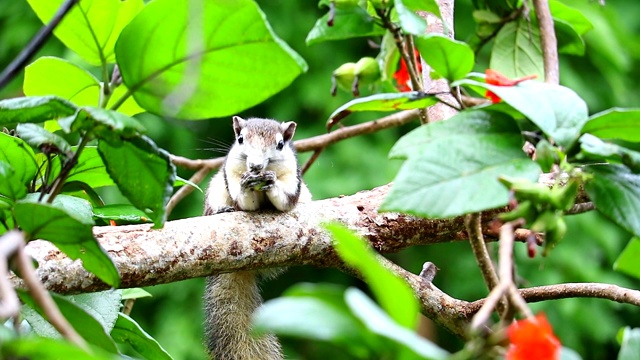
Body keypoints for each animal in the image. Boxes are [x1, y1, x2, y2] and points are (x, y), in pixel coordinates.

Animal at [201, 116, 308, 358]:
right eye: (240, 139)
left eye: (280, 144)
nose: (256, 166)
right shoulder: (230, 171)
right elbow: (245, 201)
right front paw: (246, 185)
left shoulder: (292, 176)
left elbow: (284, 200)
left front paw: (272, 182)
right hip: (215, 188)